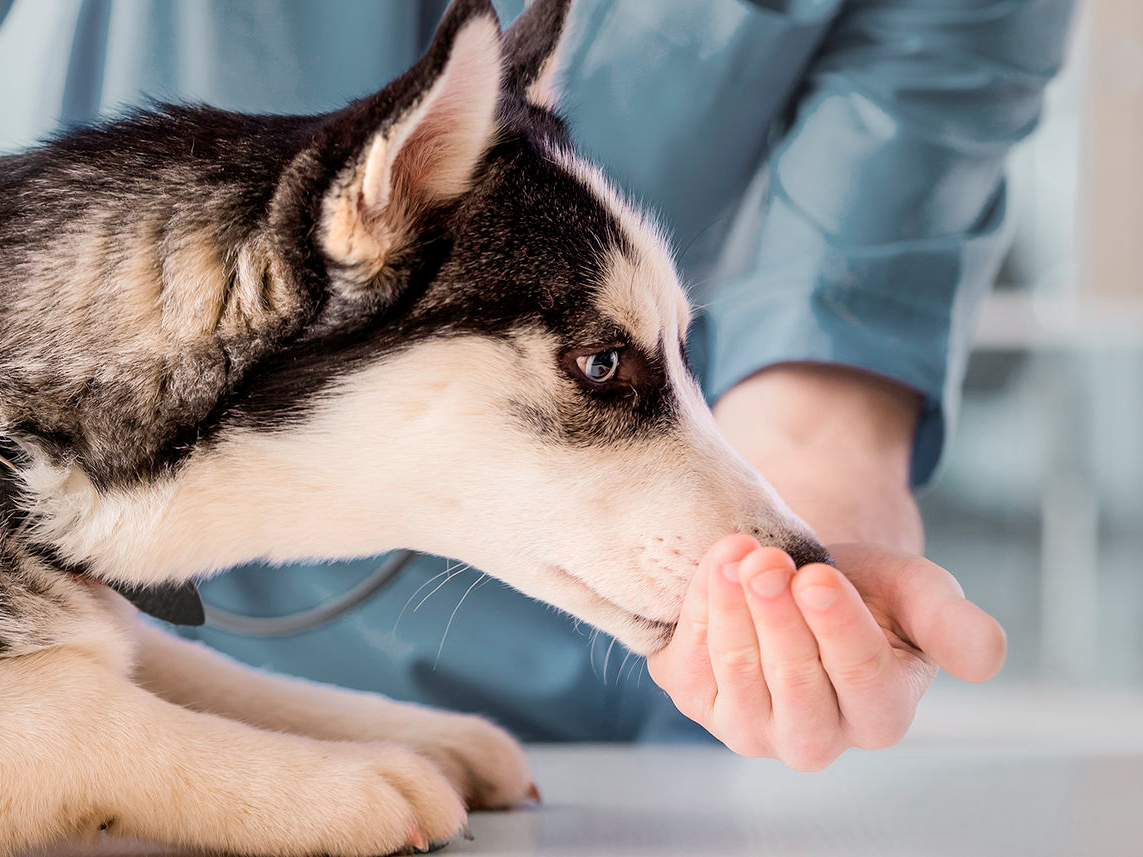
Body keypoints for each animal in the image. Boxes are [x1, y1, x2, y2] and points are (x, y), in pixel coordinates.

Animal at [0, 1, 822, 854]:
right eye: (601, 363)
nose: (811, 560)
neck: (34, 463)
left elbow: (197, 666)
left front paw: (405, 728)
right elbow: (79, 697)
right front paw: (330, 775)